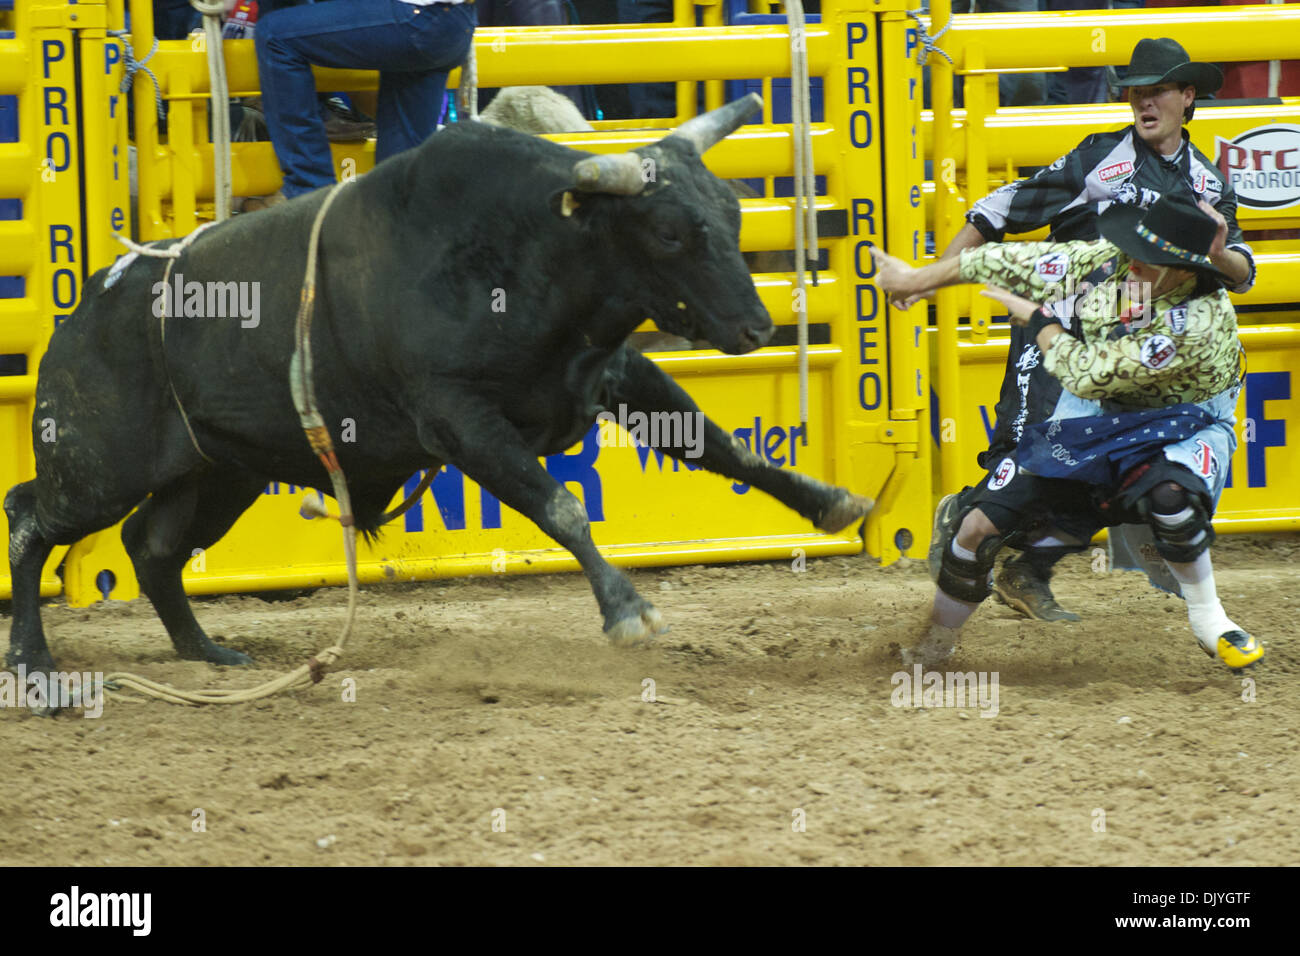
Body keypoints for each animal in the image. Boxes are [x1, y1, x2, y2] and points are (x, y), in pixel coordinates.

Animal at [7, 93, 873, 671]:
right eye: (667, 232)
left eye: (732, 212)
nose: (757, 328)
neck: (524, 249)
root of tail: (84, 311)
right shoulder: (457, 419)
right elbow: (557, 504)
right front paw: (627, 609)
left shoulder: (615, 370)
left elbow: (719, 446)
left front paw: (830, 501)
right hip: (96, 467)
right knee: (30, 520)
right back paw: (32, 658)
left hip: (219, 472)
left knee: (151, 547)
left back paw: (207, 651)